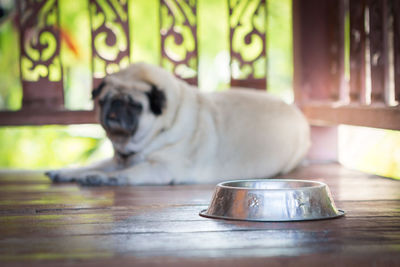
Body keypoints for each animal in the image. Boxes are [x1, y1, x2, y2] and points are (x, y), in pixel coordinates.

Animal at [46, 62, 310, 186]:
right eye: (103, 100)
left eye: (134, 105)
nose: (114, 107)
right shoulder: (118, 159)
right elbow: (91, 164)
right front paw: (66, 172)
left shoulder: (161, 169)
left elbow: (126, 173)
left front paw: (99, 178)